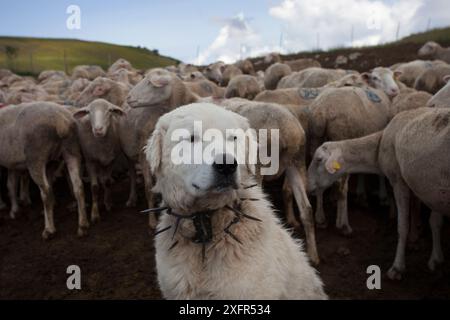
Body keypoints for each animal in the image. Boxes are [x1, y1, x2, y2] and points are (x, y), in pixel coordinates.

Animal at [0, 101, 88, 239]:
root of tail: (60, 120)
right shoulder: (12, 164)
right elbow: (11, 185)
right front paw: (15, 210)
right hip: (71, 149)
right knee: (78, 186)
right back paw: (83, 226)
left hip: (36, 157)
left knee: (46, 192)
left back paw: (49, 229)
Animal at [308, 106, 450, 278]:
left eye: (318, 160)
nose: (307, 185)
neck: (379, 143)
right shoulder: (432, 191)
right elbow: (435, 222)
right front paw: (436, 258)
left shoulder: (399, 181)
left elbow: (403, 226)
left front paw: (397, 267)